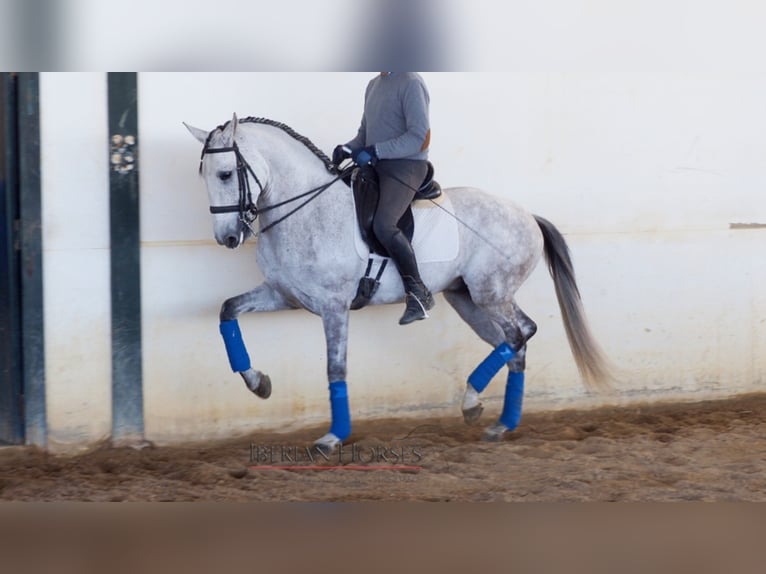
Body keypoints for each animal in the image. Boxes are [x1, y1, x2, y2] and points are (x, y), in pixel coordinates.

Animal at [186, 113, 612, 454]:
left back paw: (484, 407)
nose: (228, 238)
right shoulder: (284, 296)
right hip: (467, 298)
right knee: (511, 341)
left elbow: (335, 369)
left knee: (520, 333)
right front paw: (258, 383)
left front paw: (333, 437)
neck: (306, 212)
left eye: (225, 174)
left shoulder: (334, 308)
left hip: (491, 293)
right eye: (205, 176)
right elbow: (228, 311)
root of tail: (527, 215)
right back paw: (491, 416)